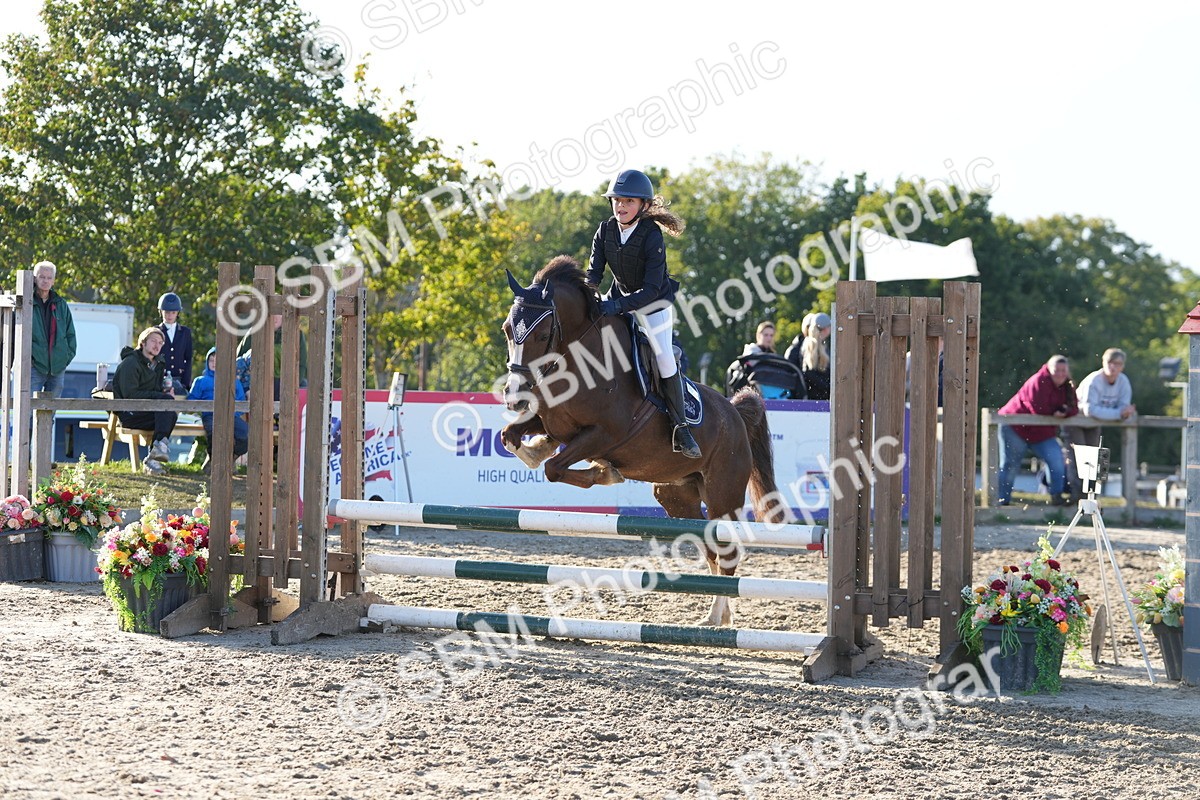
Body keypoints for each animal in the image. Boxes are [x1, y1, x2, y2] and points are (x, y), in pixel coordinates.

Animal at [500, 255, 787, 626]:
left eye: (543, 333)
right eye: (508, 329)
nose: (514, 396)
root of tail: (735, 413)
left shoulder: (605, 434)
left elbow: (555, 468)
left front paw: (605, 472)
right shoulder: (550, 420)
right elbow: (512, 439)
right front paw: (538, 447)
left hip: (723, 497)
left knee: (727, 554)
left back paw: (714, 618)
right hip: (678, 498)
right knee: (712, 551)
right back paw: (718, 617)